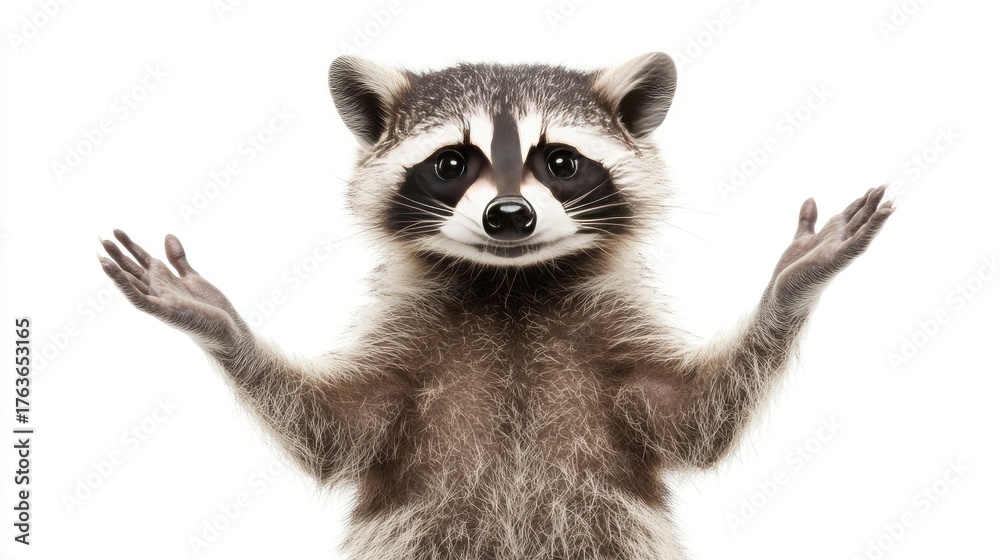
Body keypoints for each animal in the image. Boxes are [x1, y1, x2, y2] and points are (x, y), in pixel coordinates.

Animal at [99, 52, 894, 559]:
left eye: (560, 162)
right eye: (453, 163)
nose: (509, 216)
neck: (509, 290)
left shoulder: (609, 335)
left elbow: (694, 418)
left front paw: (791, 286)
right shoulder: (409, 347)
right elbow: (337, 428)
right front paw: (220, 325)